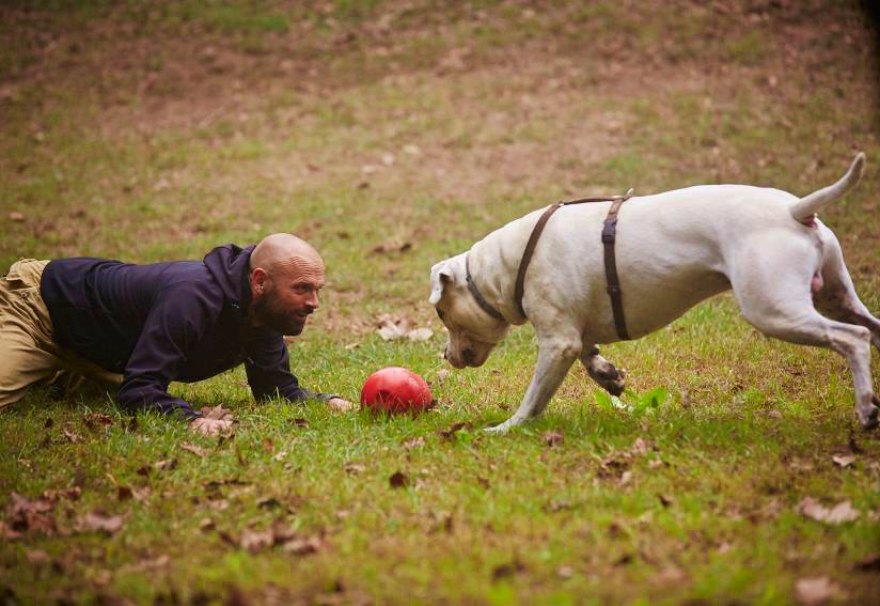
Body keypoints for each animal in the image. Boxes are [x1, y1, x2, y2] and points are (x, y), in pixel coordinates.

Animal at [430, 154, 876, 434]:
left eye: (442, 315)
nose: (446, 357)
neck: (506, 266)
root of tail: (794, 211)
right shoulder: (573, 332)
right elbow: (589, 353)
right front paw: (607, 374)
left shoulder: (557, 342)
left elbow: (535, 397)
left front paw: (507, 428)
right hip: (835, 296)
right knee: (870, 328)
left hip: (773, 310)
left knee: (853, 338)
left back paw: (867, 408)